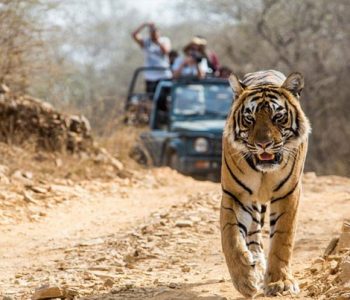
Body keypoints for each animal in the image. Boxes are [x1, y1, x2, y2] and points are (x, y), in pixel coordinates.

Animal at [220, 70, 314, 298]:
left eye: (277, 117)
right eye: (249, 118)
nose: (263, 144)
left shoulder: (288, 194)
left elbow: (282, 239)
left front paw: (280, 283)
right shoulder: (235, 194)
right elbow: (230, 237)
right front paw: (245, 280)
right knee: (253, 233)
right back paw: (255, 264)